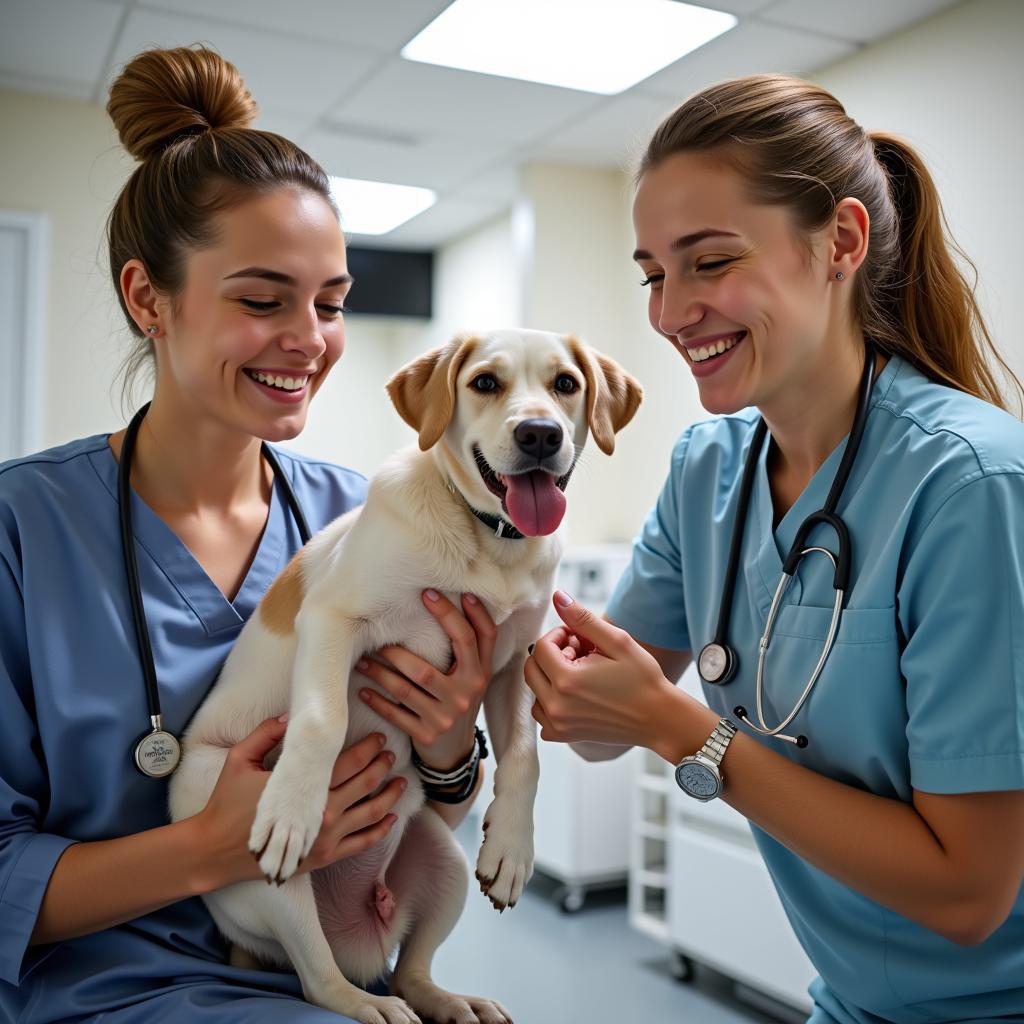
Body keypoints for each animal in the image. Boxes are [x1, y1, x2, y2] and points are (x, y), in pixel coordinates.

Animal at [172, 329, 643, 1024]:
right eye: (484, 383)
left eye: (566, 384)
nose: (539, 434)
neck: (488, 543)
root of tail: (357, 940)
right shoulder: (334, 617)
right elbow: (323, 718)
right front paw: (293, 808)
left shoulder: (513, 665)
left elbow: (525, 756)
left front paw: (513, 849)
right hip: (256, 868)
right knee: (320, 981)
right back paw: (366, 1002)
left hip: (441, 858)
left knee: (409, 970)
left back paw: (449, 1000)